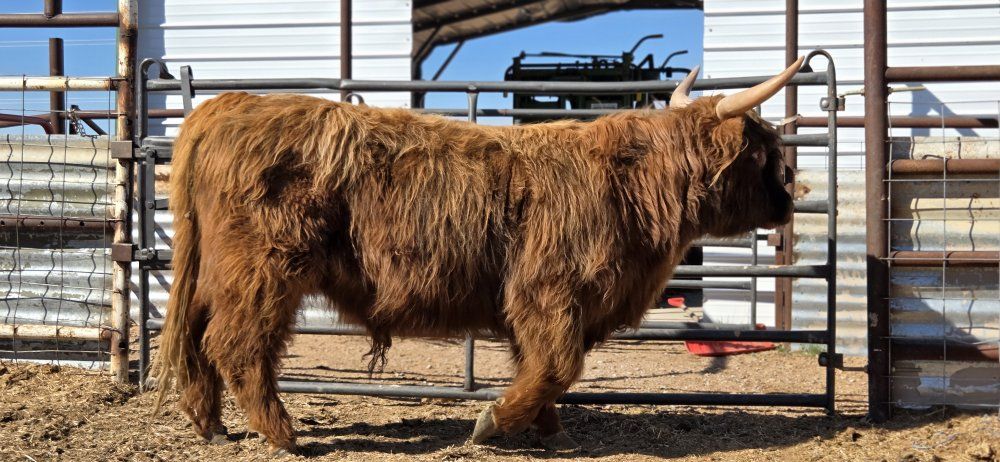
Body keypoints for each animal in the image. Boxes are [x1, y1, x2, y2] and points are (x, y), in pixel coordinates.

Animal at [152, 58, 802, 456]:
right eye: (762, 149)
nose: (793, 189)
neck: (635, 184)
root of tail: (230, 105)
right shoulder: (550, 290)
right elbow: (556, 364)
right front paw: (495, 423)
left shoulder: (541, 304)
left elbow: (540, 367)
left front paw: (545, 430)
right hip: (264, 267)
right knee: (238, 342)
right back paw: (283, 434)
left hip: (216, 271)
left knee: (194, 334)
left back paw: (210, 426)